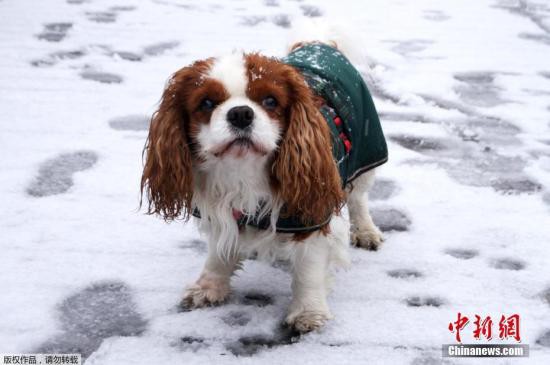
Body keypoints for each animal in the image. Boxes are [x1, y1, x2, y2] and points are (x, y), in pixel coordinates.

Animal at [143, 37, 392, 332]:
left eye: (270, 100)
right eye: (206, 103)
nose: (241, 113)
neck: (242, 175)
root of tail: (318, 42)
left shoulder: (311, 214)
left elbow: (309, 269)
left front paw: (308, 312)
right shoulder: (220, 210)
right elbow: (218, 253)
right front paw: (209, 286)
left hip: (365, 154)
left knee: (358, 199)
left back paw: (366, 232)